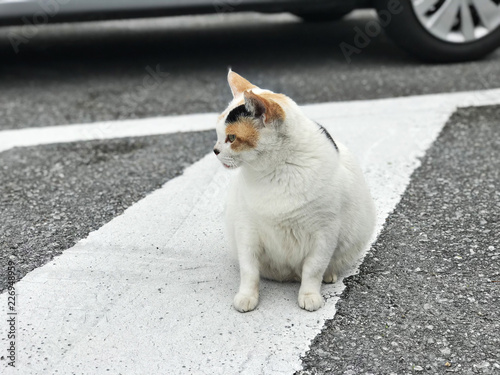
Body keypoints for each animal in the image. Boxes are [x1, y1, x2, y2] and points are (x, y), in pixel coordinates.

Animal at [212, 70, 376, 314]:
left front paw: (309, 295)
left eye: (231, 138)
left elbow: (313, 269)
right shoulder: (246, 230)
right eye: (217, 134)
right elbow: (249, 270)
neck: (275, 172)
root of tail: (288, 275)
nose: (215, 150)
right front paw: (246, 296)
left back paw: (328, 275)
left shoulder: (325, 233)